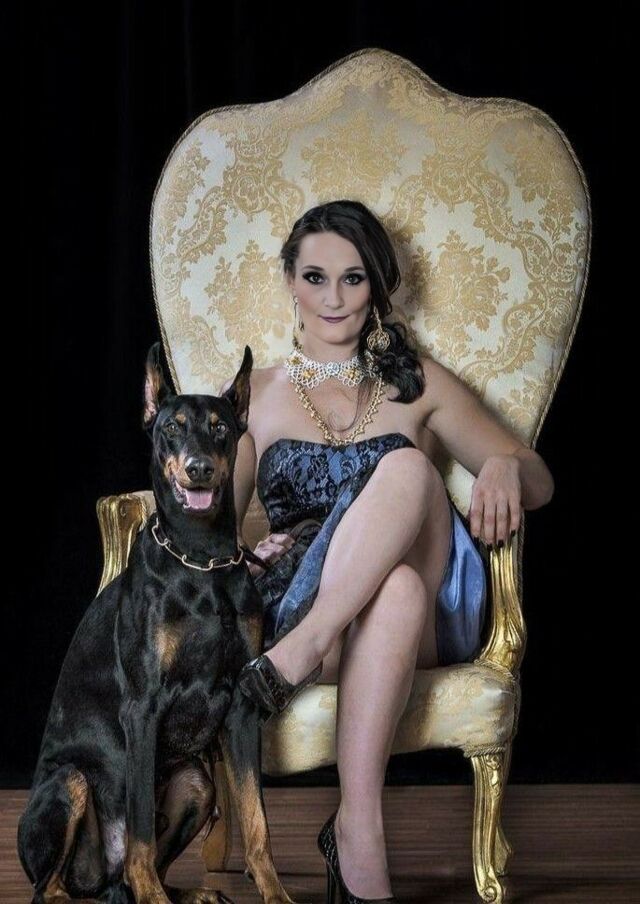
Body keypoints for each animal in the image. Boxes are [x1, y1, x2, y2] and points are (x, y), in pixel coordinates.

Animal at [18, 342, 298, 904]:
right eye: (172, 426)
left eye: (220, 427)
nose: (199, 468)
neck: (201, 559)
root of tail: (99, 880)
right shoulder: (142, 707)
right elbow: (142, 831)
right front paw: (152, 897)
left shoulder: (241, 706)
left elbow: (256, 820)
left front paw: (275, 893)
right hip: (69, 784)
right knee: (55, 886)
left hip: (197, 784)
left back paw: (194, 893)